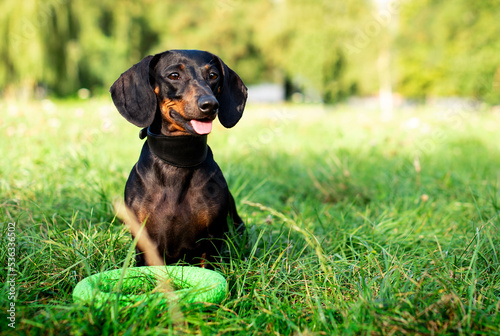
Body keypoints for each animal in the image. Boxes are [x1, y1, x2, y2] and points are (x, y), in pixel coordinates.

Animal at [111, 48, 248, 266]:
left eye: (213, 75)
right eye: (174, 75)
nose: (210, 105)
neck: (177, 160)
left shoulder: (212, 241)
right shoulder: (143, 244)